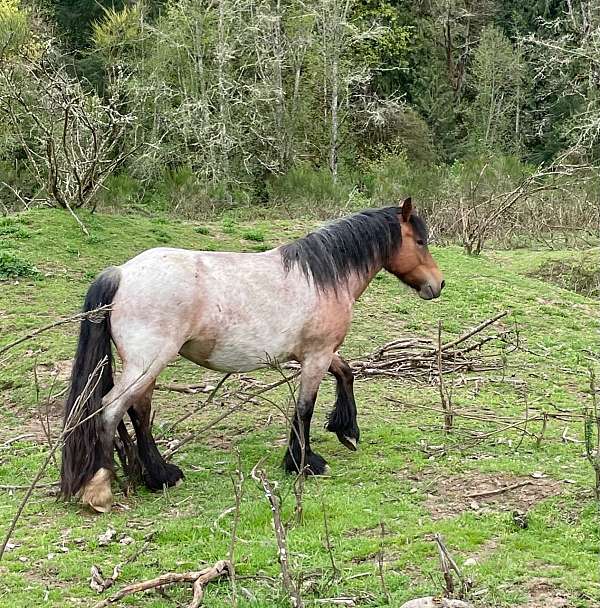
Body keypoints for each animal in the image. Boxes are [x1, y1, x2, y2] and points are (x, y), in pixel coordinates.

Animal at [61, 197, 446, 510]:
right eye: (421, 241)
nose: (438, 284)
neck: (324, 276)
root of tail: (121, 274)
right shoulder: (316, 356)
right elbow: (304, 408)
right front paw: (304, 462)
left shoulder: (316, 354)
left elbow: (346, 372)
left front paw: (346, 431)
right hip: (147, 363)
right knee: (110, 410)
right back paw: (100, 488)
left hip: (147, 367)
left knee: (139, 411)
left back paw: (159, 476)